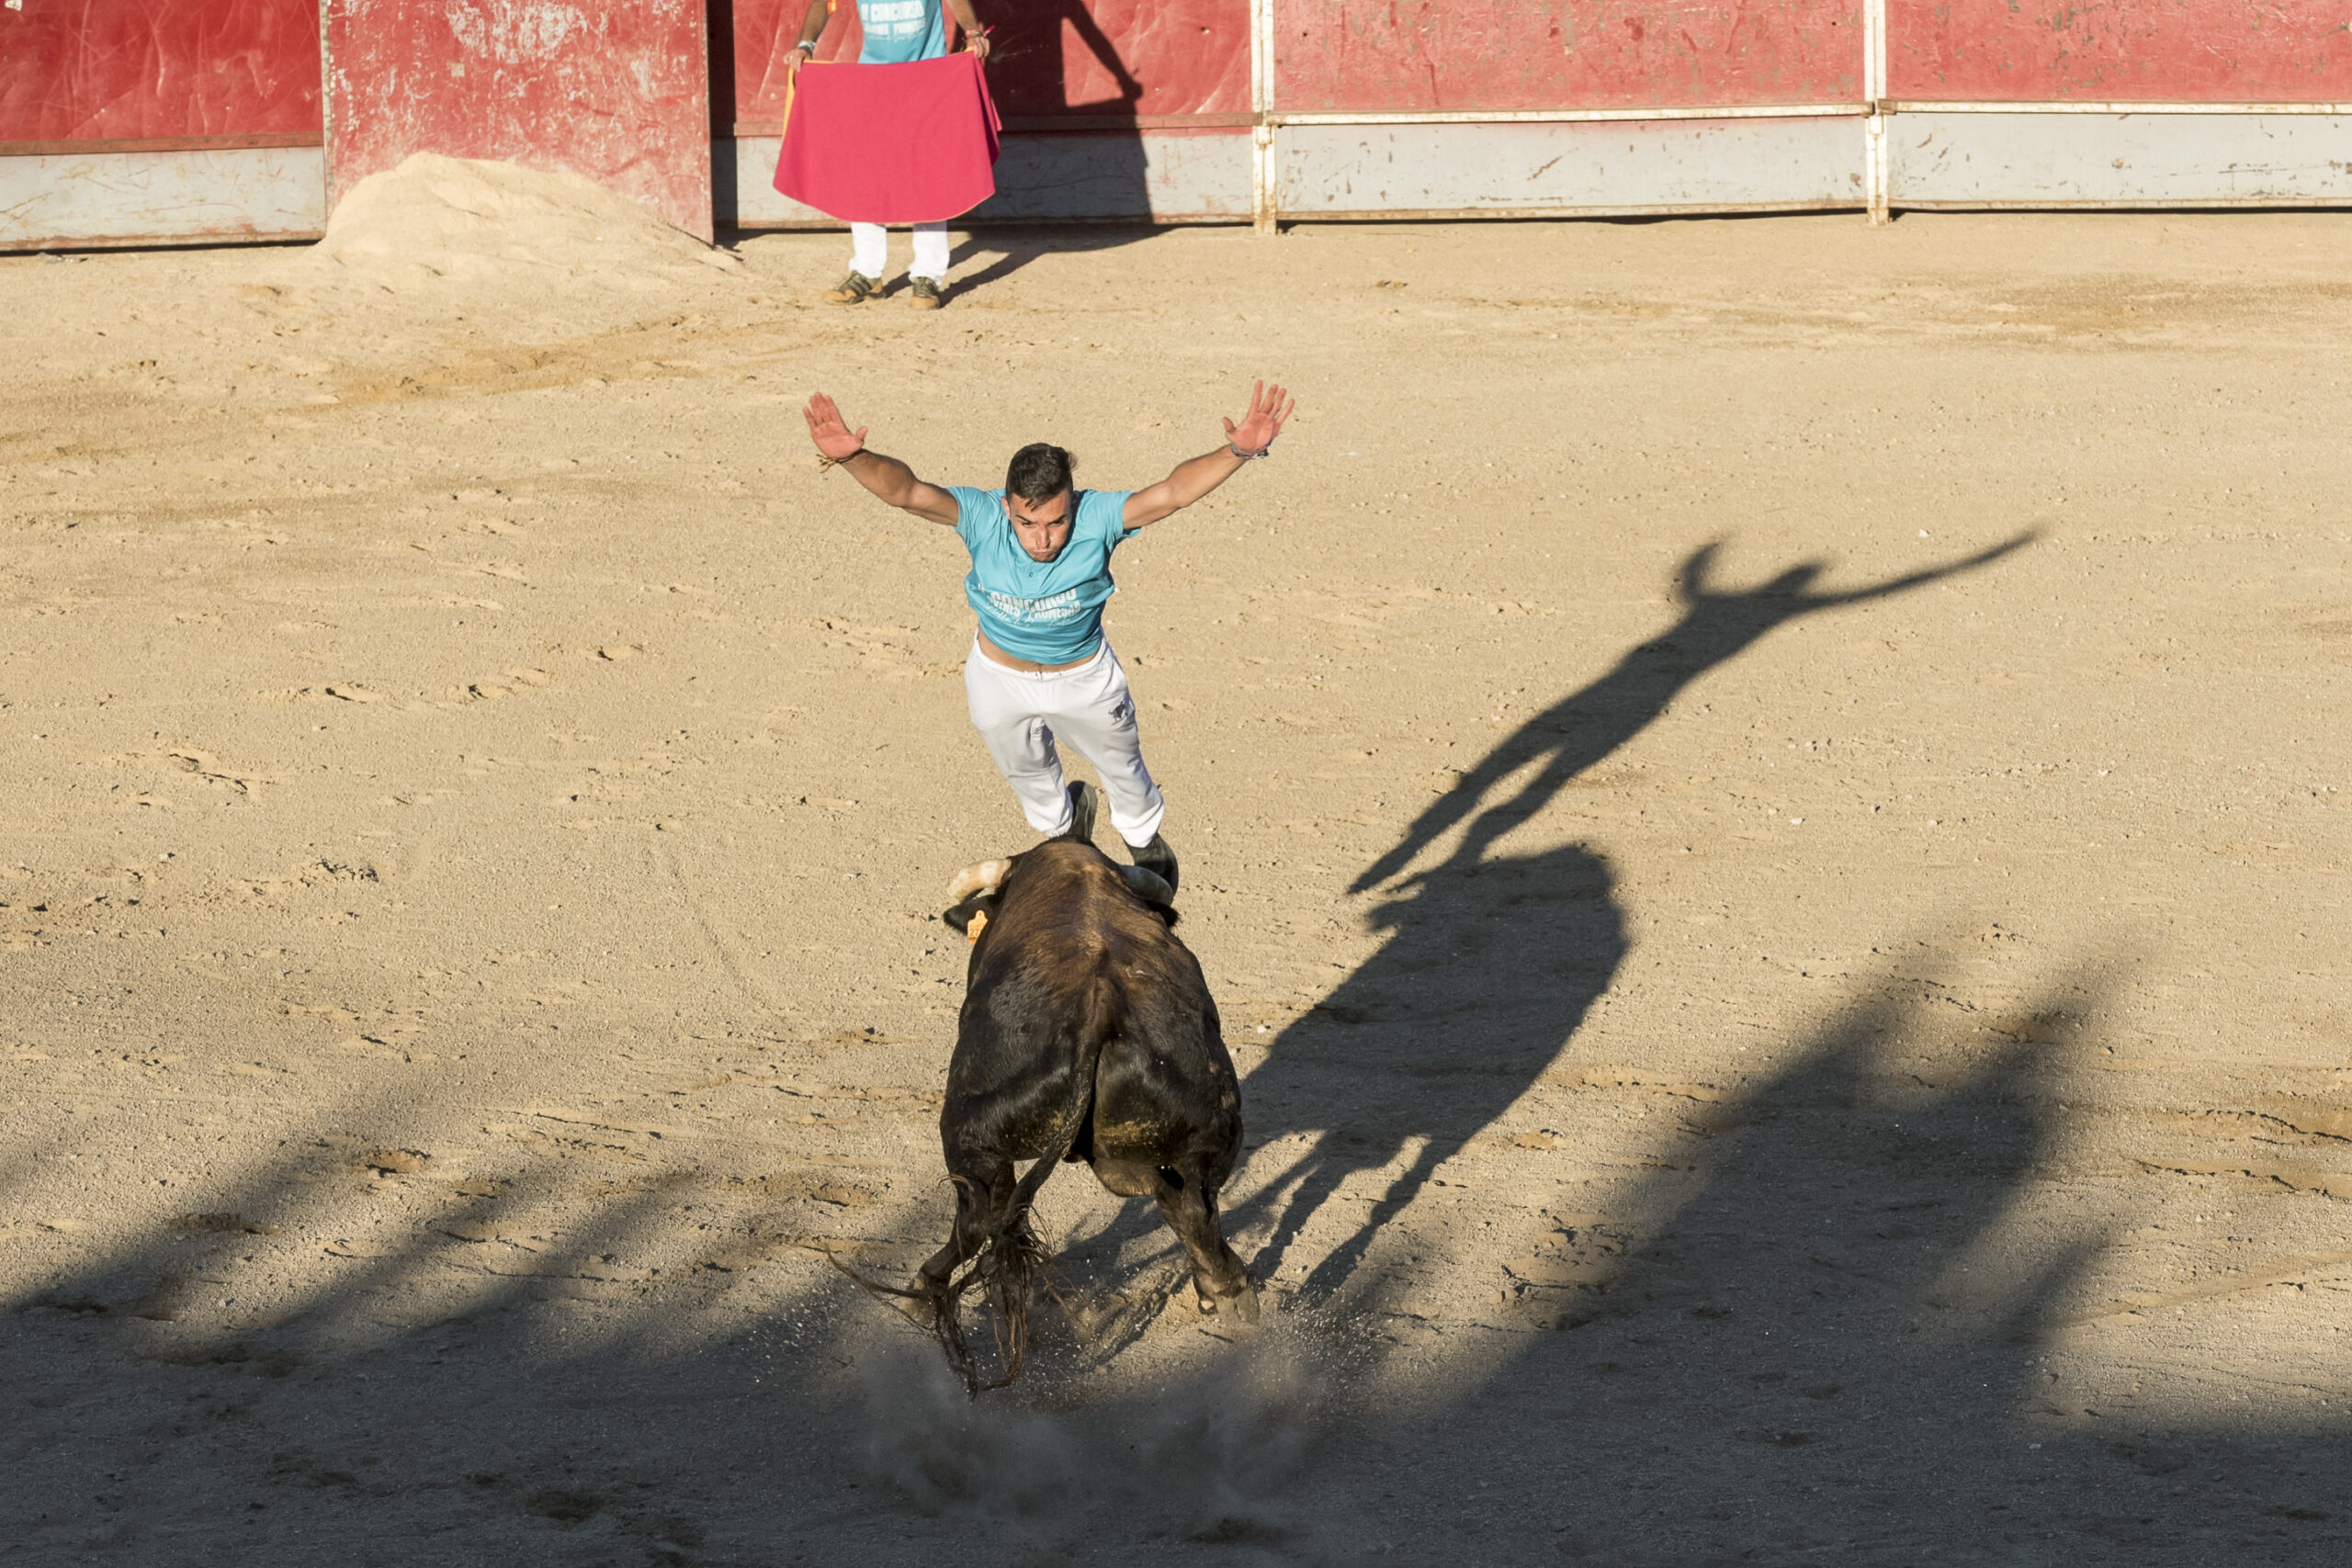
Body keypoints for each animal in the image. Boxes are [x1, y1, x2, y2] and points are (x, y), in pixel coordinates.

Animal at [875, 841, 1261, 1392]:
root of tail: (1101, 1011)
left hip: (968, 1133)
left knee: (979, 1217)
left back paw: (925, 1288)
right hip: (1200, 1136)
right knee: (1190, 1209)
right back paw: (1226, 1291)